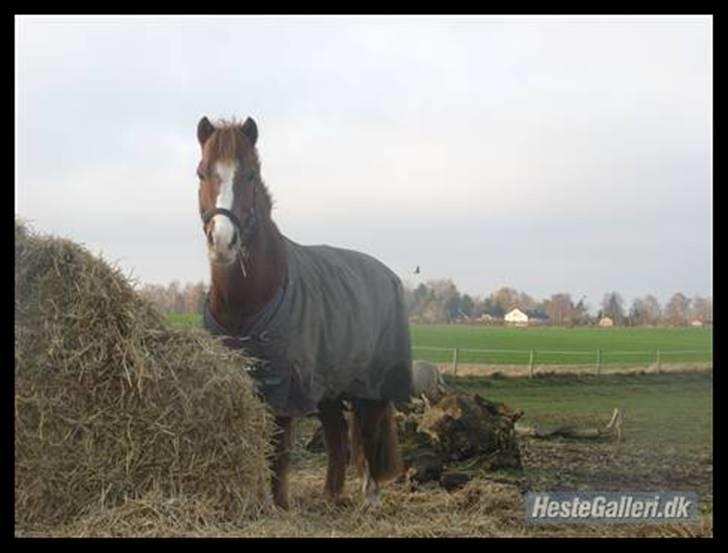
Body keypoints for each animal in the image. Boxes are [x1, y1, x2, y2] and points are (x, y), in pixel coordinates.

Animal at [196, 116, 412, 508]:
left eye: (250, 175)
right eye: (202, 172)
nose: (222, 242)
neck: (247, 302)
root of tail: (387, 274)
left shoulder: (287, 385)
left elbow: (279, 447)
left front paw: (279, 504)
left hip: (372, 384)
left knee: (369, 432)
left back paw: (370, 497)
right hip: (328, 387)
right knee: (338, 437)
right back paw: (331, 495)